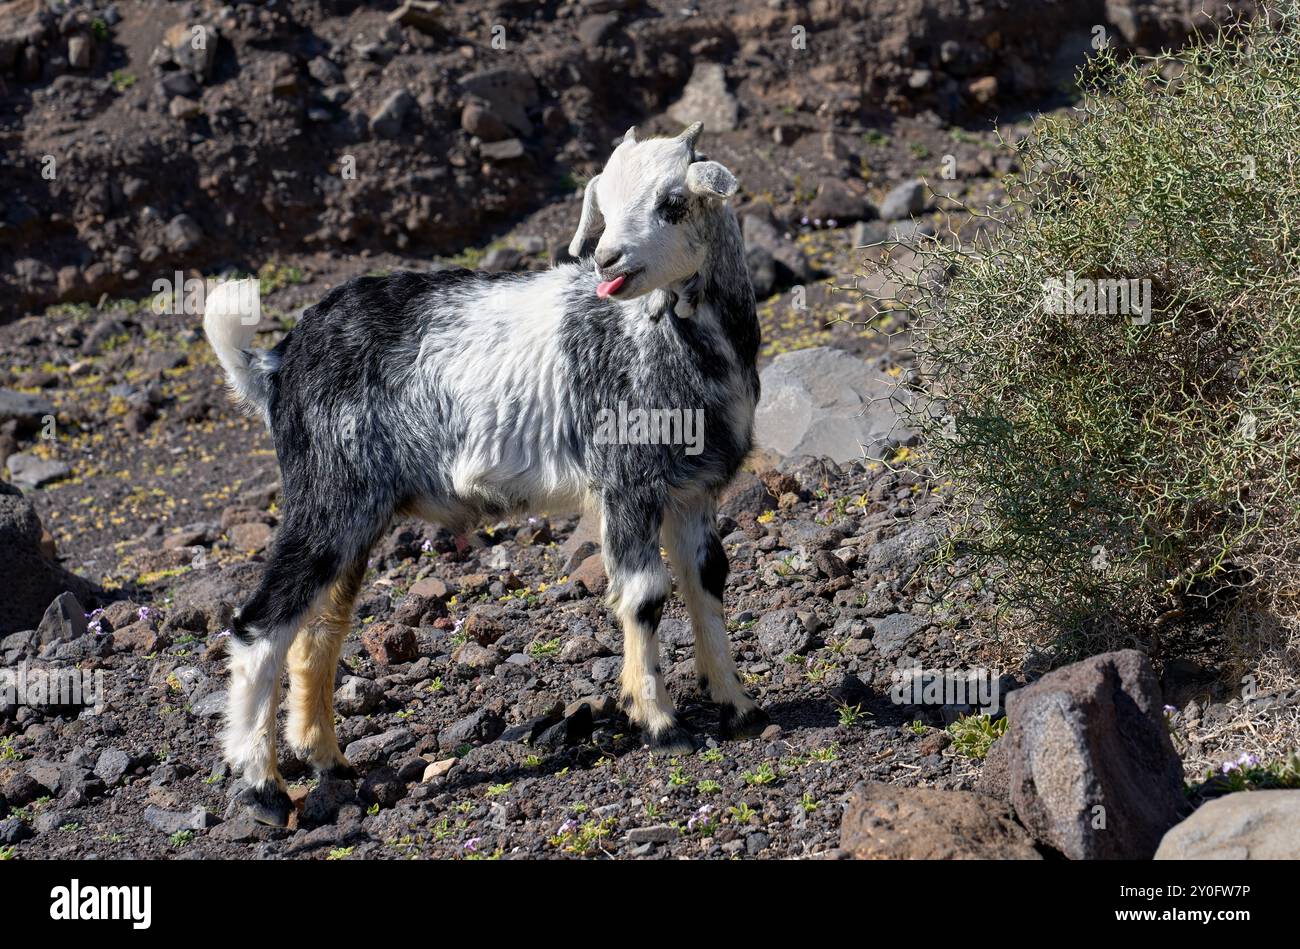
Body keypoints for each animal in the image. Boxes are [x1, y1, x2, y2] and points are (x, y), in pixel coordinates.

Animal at [203, 122, 767, 826]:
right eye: (605, 204)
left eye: (673, 202)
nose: (606, 260)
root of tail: (277, 363)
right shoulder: (626, 485)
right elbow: (644, 594)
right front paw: (662, 725)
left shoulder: (695, 490)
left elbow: (707, 582)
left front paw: (737, 705)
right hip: (327, 497)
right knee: (260, 626)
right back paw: (263, 790)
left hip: (356, 515)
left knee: (317, 628)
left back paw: (328, 760)